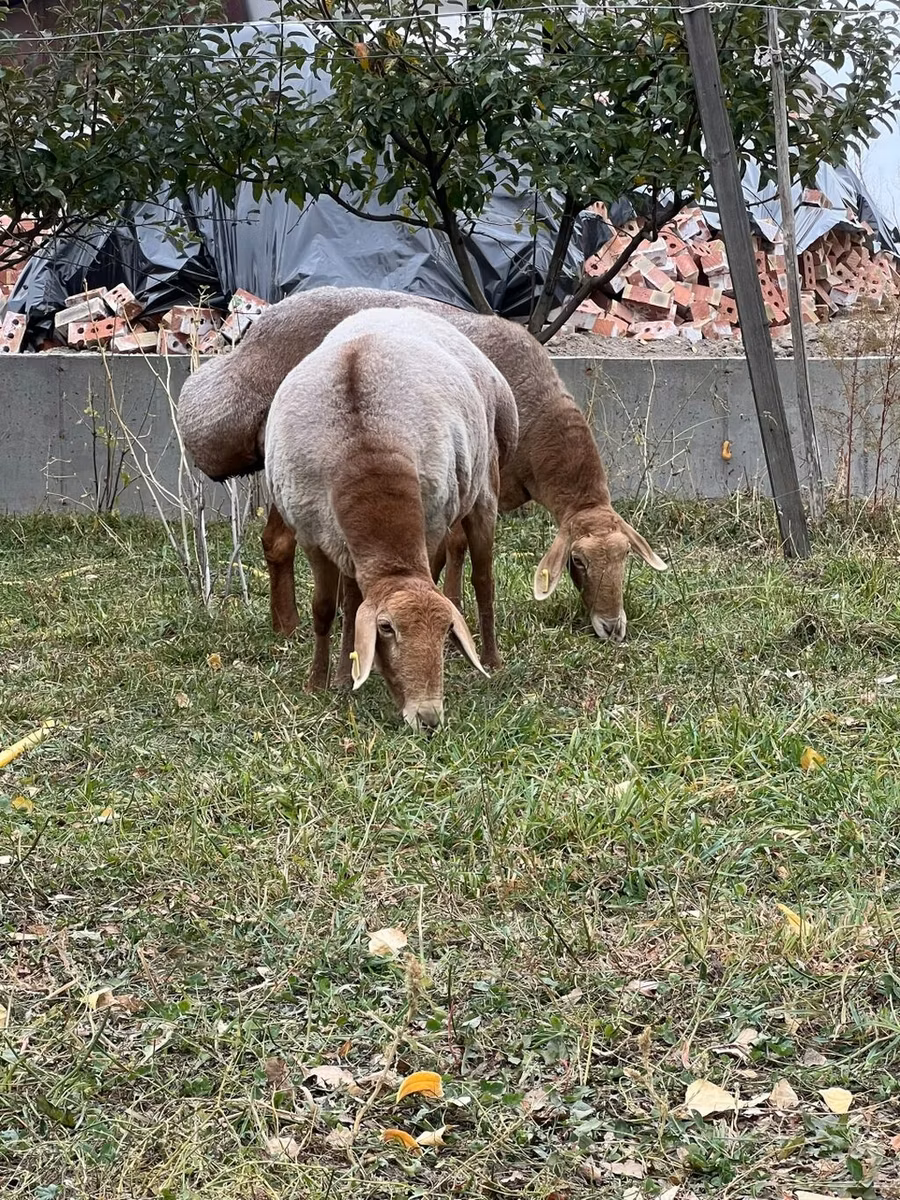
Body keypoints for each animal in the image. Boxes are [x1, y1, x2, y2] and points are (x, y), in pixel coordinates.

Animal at [177, 286, 667, 644]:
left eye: (626, 557)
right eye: (577, 562)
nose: (613, 629)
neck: (537, 416)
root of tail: (249, 347)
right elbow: (453, 547)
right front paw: (449, 609)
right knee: (278, 541)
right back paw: (288, 628)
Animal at [263, 307, 518, 728]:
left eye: (445, 629)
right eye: (385, 628)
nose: (428, 718)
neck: (365, 453)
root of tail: (399, 308)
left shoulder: (431, 524)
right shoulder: (313, 535)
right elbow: (326, 609)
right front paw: (319, 682)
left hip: (484, 488)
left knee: (484, 579)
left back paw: (493, 659)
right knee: (353, 598)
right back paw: (342, 672)